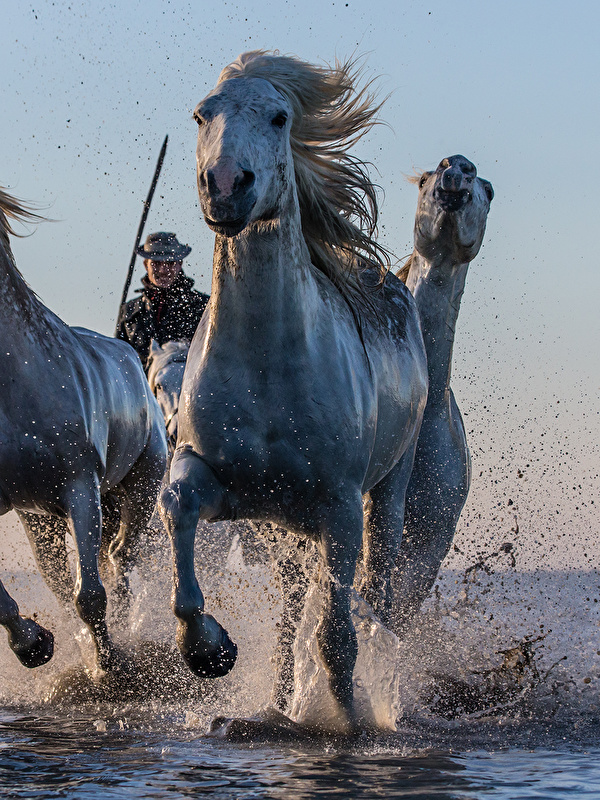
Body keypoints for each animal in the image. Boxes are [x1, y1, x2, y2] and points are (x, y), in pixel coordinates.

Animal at [0, 191, 166, 672]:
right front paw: (33, 644)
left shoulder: (80, 486)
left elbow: (90, 595)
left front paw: (109, 663)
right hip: (38, 517)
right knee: (57, 577)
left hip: (142, 485)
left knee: (119, 559)